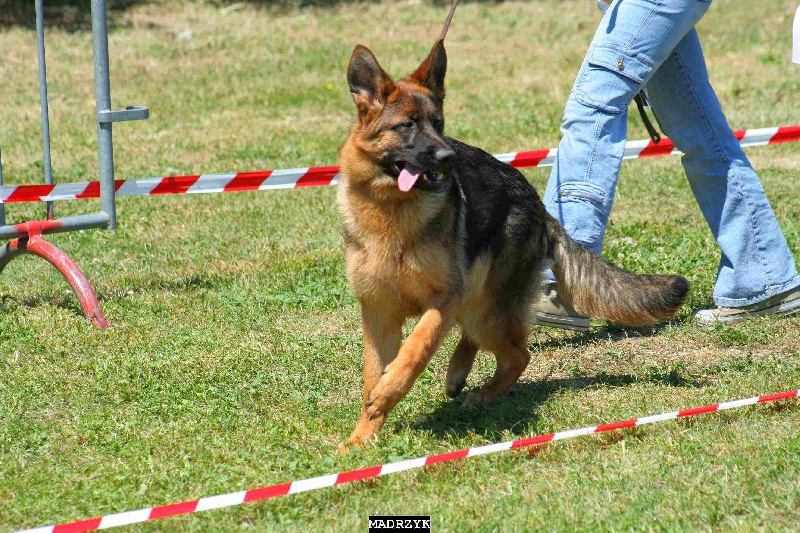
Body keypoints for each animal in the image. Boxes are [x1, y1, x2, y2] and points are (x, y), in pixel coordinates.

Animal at [336, 38, 688, 448]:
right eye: (407, 125)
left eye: (438, 124)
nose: (448, 157)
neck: (390, 208)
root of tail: (536, 203)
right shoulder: (379, 316)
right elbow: (372, 376)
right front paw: (361, 437)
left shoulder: (442, 299)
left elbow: (416, 349)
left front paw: (388, 393)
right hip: (477, 299)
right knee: (484, 339)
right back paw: (458, 373)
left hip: (483, 305)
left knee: (517, 355)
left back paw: (485, 392)